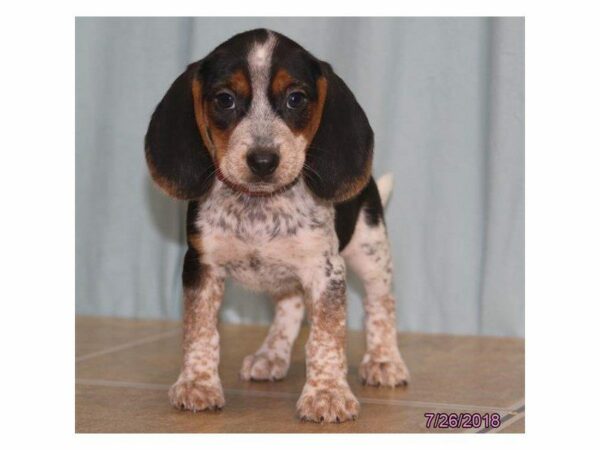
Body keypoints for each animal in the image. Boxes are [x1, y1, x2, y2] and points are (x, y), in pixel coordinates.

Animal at [144, 28, 408, 422]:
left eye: (296, 98)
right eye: (224, 99)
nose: (264, 160)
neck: (259, 205)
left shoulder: (326, 270)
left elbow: (326, 337)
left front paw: (327, 392)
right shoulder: (202, 266)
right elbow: (200, 330)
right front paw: (197, 383)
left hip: (371, 252)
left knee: (381, 305)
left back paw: (384, 361)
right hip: (284, 274)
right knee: (290, 308)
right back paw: (271, 355)